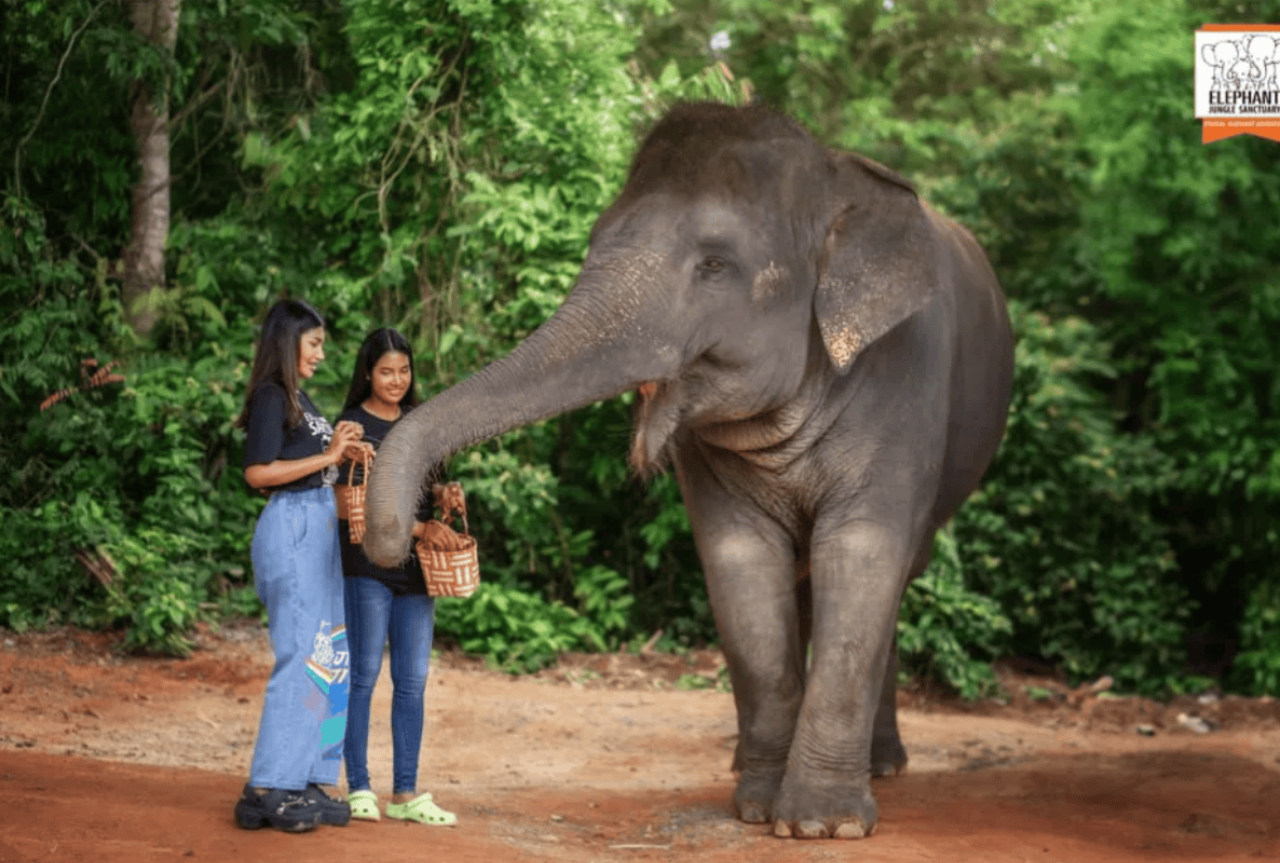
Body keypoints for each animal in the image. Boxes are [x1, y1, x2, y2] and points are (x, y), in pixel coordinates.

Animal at [364, 102, 1014, 840]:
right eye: (594, 241)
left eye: (715, 264)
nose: (393, 537)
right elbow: (740, 566)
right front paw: (757, 807)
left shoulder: (906, 383)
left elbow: (863, 556)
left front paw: (822, 826)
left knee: (893, 575)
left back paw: (884, 767)